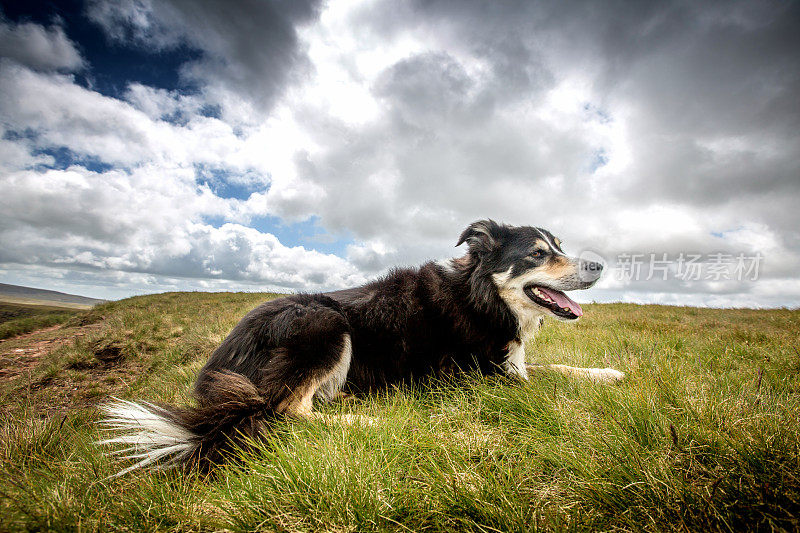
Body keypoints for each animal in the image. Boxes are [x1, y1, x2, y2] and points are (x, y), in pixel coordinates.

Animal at [101, 220, 624, 474]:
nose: (599, 265)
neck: (481, 297)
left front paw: (610, 373)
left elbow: (554, 366)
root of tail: (220, 365)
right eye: (537, 253)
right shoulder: (482, 377)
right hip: (323, 320)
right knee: (289, 411)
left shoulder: (510, 365)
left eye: (559, 245)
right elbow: (549, 376)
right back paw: (376, 418)